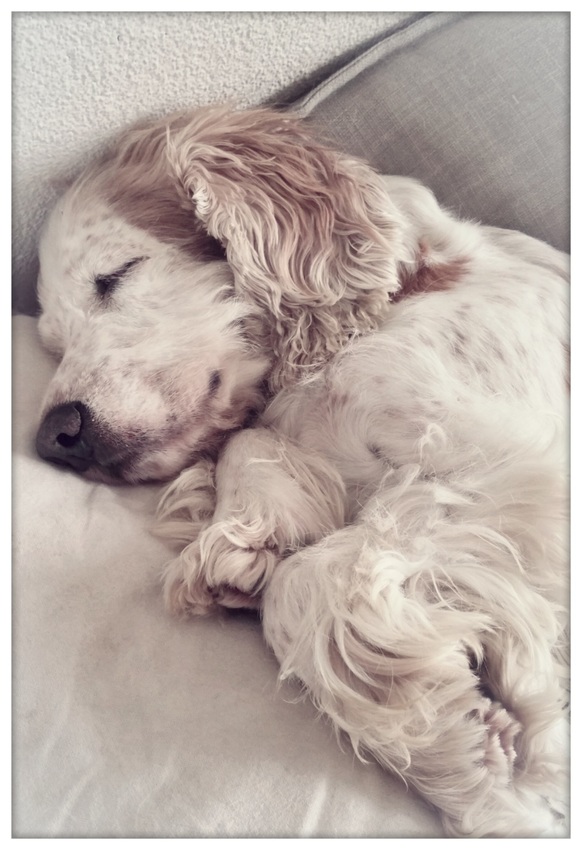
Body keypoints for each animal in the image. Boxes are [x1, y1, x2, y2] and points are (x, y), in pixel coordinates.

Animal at [34, 106, 569, 836]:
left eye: (115, 275)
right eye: (53, 342)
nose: (52, 436)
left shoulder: (518, 475)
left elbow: (309, 578)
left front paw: (467, 754)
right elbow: (250, 452)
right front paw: (247, 539)